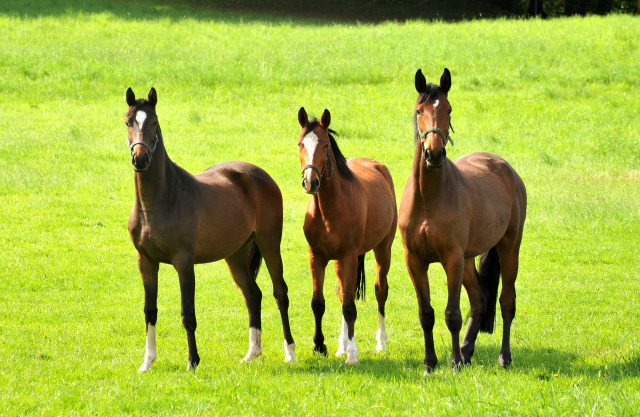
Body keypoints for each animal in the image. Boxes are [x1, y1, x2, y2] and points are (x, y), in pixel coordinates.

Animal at [124, 88, 296, 370]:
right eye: (128, 122)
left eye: (154, 122)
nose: (140, 158)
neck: (159, 201)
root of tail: (261, 175)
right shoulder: (146, 262)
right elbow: (150, 311)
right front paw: (147, 362)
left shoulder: (184, 263)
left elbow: (188, 314)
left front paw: (192, 362)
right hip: (235, 255)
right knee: (253, 295)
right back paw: (252, 353)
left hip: (270, 243)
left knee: (279, 293)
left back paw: (289, 352)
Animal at [298, 107, 398, 364]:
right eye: (301, 143)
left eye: (325, 145)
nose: (310, 182)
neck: (329, 209)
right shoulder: (317, 257)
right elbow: (319, 303)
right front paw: (319, 346)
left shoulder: (350, 256)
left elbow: (350, 307)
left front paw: (352, 355)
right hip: (338, 262)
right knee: (345, 293)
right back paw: (341, 346)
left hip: (383, 249)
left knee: (380, 291)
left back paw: (380, 342)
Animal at [398, 69, 528, 374]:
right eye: (419, 110)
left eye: (448, 109)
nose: (434, 154)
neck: (429, 198)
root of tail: (507, 169)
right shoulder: (415, 260)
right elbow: (426, 313)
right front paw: (430, 363)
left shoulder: (452, 259)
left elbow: (452, 314)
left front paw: (454, 362)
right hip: (469, 259)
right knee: (480, 298)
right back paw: (468, 350)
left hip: (508, 248)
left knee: (506, 301)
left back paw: (503, 357)